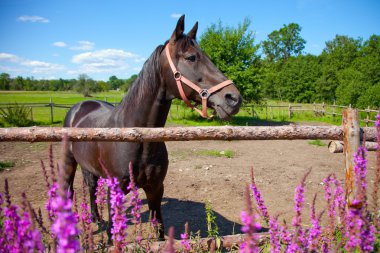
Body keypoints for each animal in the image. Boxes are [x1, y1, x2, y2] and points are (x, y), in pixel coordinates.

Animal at [61, 14, 242, 240]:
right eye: (191, 57)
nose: (234, 98)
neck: (137, 137)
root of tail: (80, 106)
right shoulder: (115, 191)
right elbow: (114, 236)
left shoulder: (155, 189)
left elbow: (159, 233)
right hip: (69, 163)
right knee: (70, 191)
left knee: (91, 187)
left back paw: (96, 219)